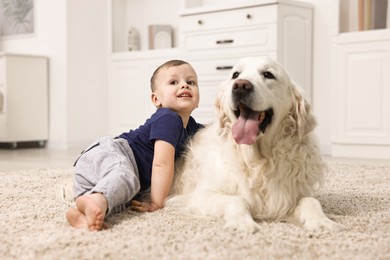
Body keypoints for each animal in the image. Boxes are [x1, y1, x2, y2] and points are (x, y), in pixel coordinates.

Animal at [168, 56, 344, 232]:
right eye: (235, 74)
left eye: (268, 74)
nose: (240, 85)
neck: (258, 161)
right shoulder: (200, 195)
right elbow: (237, 199)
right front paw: (242, 223)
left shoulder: (292, 194)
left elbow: (311, 201)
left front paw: (322, 221)